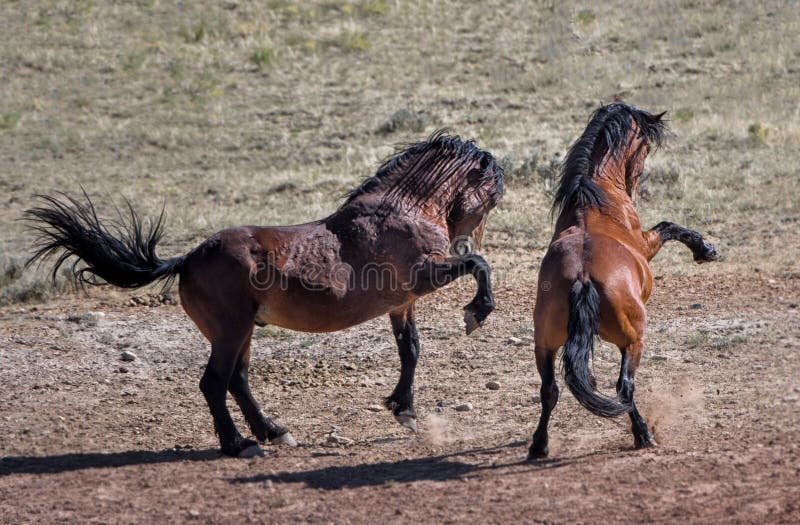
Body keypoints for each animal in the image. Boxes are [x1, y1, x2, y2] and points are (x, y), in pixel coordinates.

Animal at [28, 131, 504, 454]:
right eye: (494, 187)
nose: (467, 235)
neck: (403, 209)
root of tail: (188, 258)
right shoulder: (424, 277)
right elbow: (478, 267)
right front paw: (476, 313)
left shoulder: (401, 304)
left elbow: (411, 350)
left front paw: (404, 410)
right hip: (231, 329)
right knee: (214, 382)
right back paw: (240, 444)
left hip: (241, 331)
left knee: (236, 381)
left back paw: (273, 431)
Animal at [532, 103, 720, 458]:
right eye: (644, 147)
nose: (635, 184)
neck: (596, 200)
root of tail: (582, 278)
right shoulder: (646, 245)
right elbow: (668, 226)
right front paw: (705, 249)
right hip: (633, 341)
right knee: (624, 387)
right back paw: (643, 434)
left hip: (544, 344)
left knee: (549, 389)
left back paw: (539, 445)